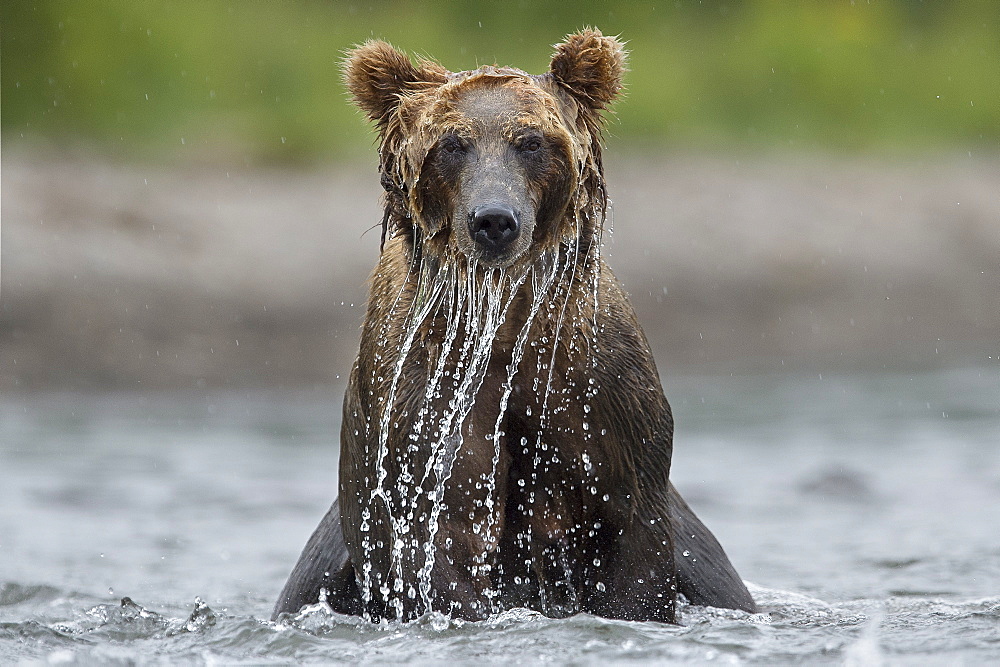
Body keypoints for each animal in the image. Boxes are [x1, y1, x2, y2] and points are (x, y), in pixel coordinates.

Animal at [270, 28, 752, 628]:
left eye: (531, 141)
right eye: (452, 144)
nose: (494, 220)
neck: (503, 323)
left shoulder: (600, 399)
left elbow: (632, 547)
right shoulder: (423, 407)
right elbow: (439, 543)